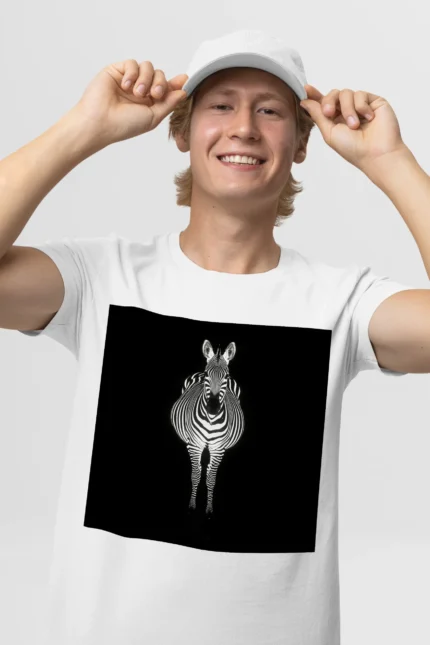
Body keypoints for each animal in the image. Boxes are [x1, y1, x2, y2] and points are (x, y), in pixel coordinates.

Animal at [170, 339, 245, 515]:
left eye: (226, 376)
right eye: (207, 375)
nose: (213, 408)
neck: (211, 419)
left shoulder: (218, 449)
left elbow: (211, 478)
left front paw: (209, 507)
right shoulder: (195, 445)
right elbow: (196, 475)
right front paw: (192, 505)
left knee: (209, 469)